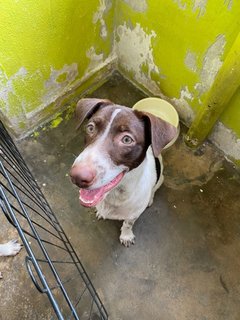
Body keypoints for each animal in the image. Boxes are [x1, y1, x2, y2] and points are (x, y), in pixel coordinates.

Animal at [69, 99, 176, 246]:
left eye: (126, 139)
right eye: (91, 128)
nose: (77, 177)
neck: (115, 195)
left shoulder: (133, 215)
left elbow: (128, 224)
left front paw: (126, 236)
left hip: (161, 179)